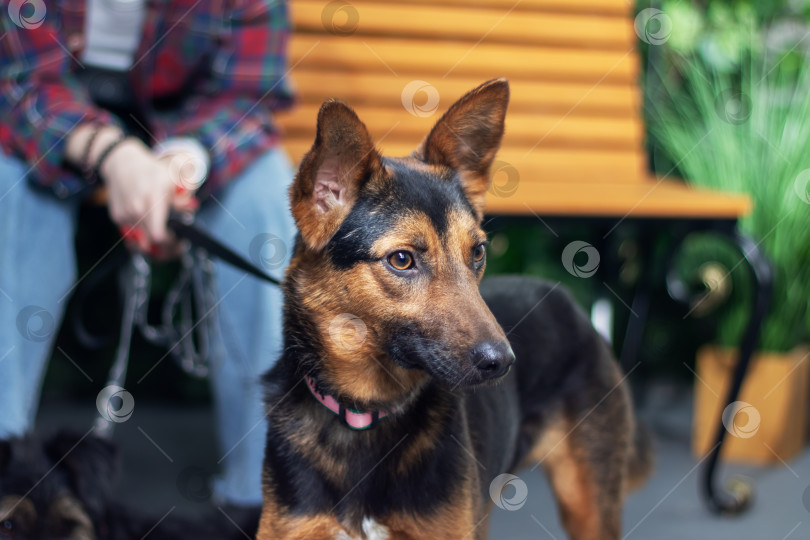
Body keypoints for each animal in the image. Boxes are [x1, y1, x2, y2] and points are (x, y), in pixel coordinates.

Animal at [258, 77, 652, 540]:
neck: (365, 415)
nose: (503, 363)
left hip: (589, 505)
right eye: (402, 259)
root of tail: (567, 300)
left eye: (477, 252)